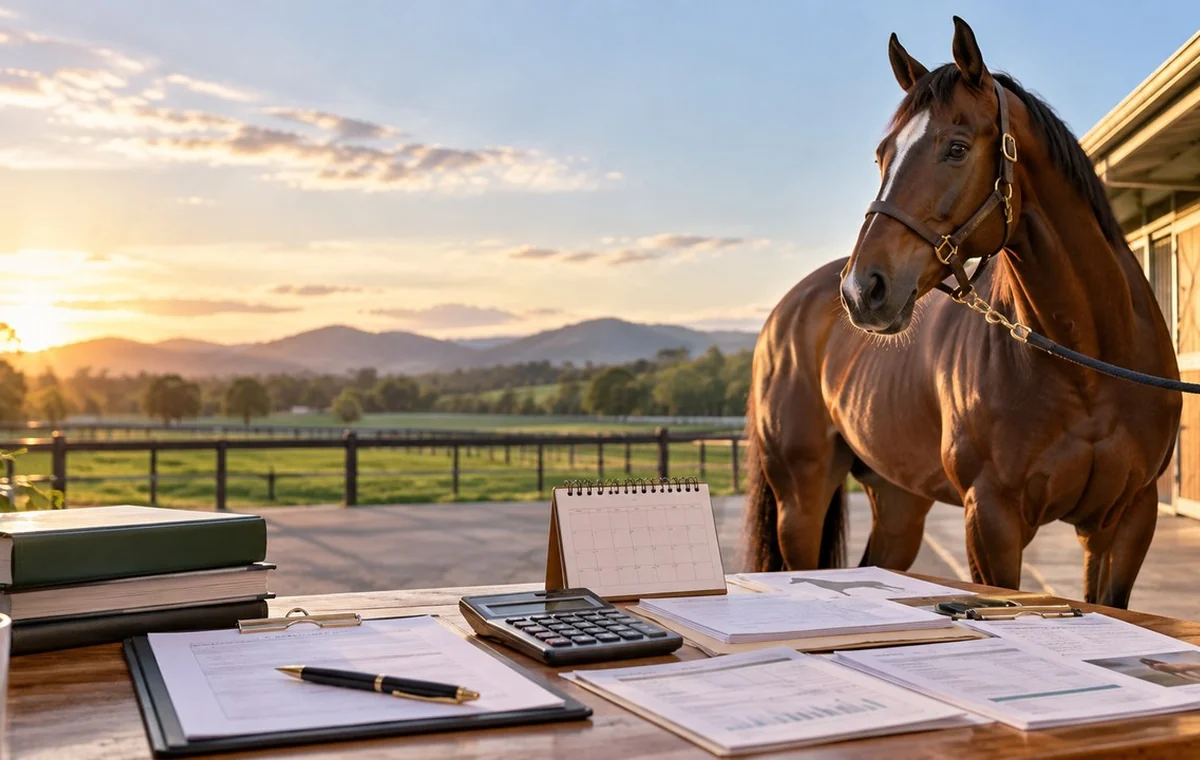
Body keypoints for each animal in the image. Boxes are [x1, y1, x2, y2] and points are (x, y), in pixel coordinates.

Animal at [743, 16, 1181, 610]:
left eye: (955, 148)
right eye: (881, 155)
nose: (861, 290)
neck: (1088, 362)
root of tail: (786, 314)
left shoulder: (1128, 518)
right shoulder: (992, 517)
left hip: (898, 498)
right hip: (800, 496)